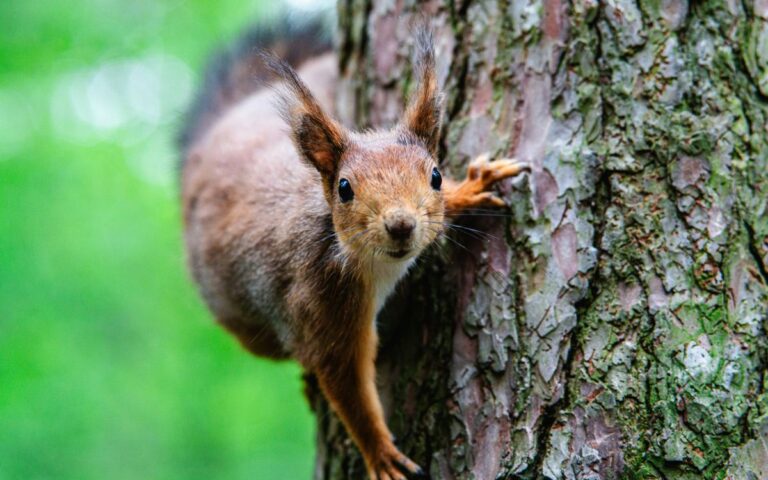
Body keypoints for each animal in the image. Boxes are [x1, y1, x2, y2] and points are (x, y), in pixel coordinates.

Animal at [180, 18, 529, 480]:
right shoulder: (323, 303)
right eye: (344, 188)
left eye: (436, 176)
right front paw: (380, 454)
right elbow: (347, 385)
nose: (401, 224)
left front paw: (470, 189)